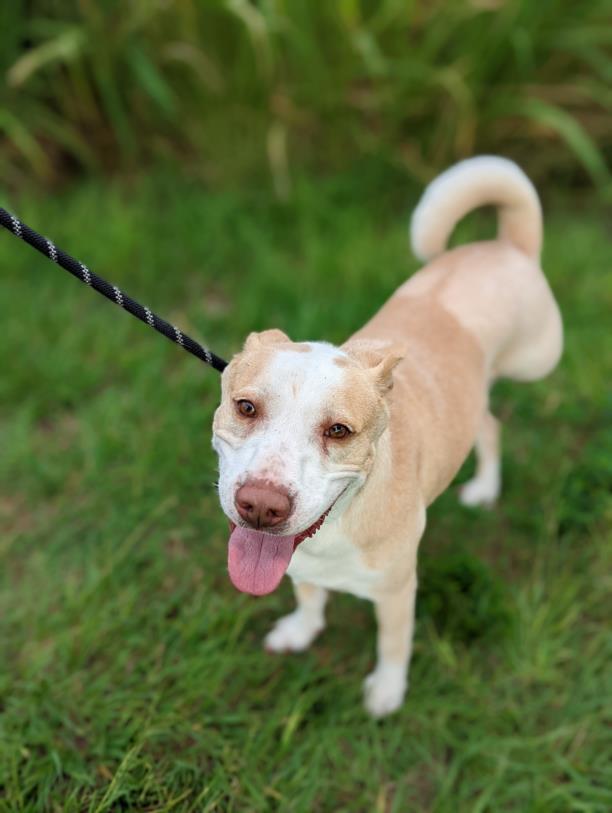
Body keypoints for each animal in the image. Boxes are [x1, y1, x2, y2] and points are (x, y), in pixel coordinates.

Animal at [213, 157, 560, 716]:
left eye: (339, 431)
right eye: (246, 407)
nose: (261, 507)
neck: (341, 520)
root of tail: (505, 245)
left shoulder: (399, 589)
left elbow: (393, 644)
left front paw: (387, 694)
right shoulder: (296, 560)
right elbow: (309, 597)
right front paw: (300, 631)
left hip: (540, 355)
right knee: (487, 422)